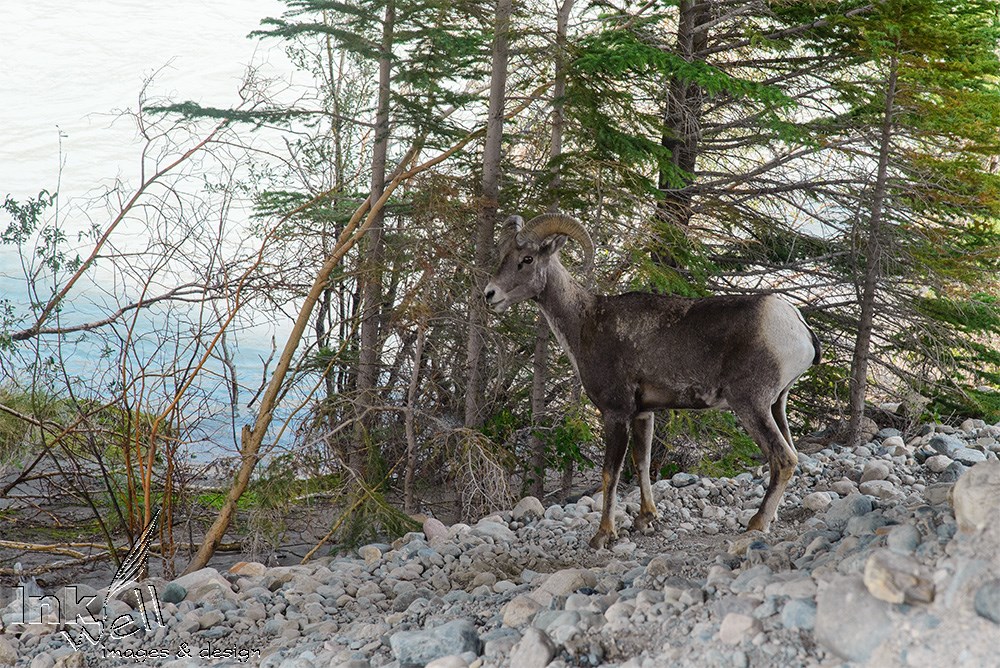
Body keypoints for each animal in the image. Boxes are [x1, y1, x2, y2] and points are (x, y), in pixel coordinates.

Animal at [484, 213, 821, 548]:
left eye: (527, 259)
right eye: (503, 255)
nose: (490, 294)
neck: (585, 324)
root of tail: (799, 326)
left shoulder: (616, 413)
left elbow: (610, 473)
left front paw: (603, 535)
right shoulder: (644, 414)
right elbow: (642, 463)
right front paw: (646, 519)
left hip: (751, 405)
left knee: (783, 459)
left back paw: (756, 523)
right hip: (777, 405)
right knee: (791, 455)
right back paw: (769, 518)